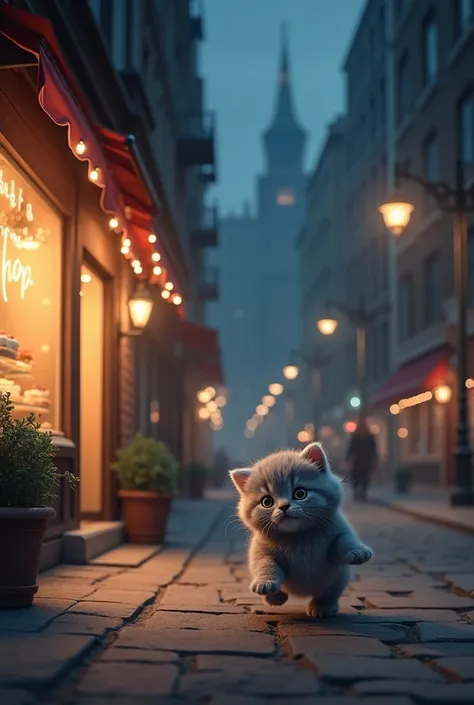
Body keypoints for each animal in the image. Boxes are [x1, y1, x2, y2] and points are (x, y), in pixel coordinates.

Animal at [230, 446, 374, 616]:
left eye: (300, 493)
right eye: (267, 502)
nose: (284, 506)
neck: (299, 536)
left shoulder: (339, 530)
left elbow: (344, 541)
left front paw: (357, 551)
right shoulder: (261, 550)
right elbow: (265, 564)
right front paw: (265, 583)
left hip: (338, 580)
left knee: (328, 594)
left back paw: (322, 607)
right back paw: (275, 597)